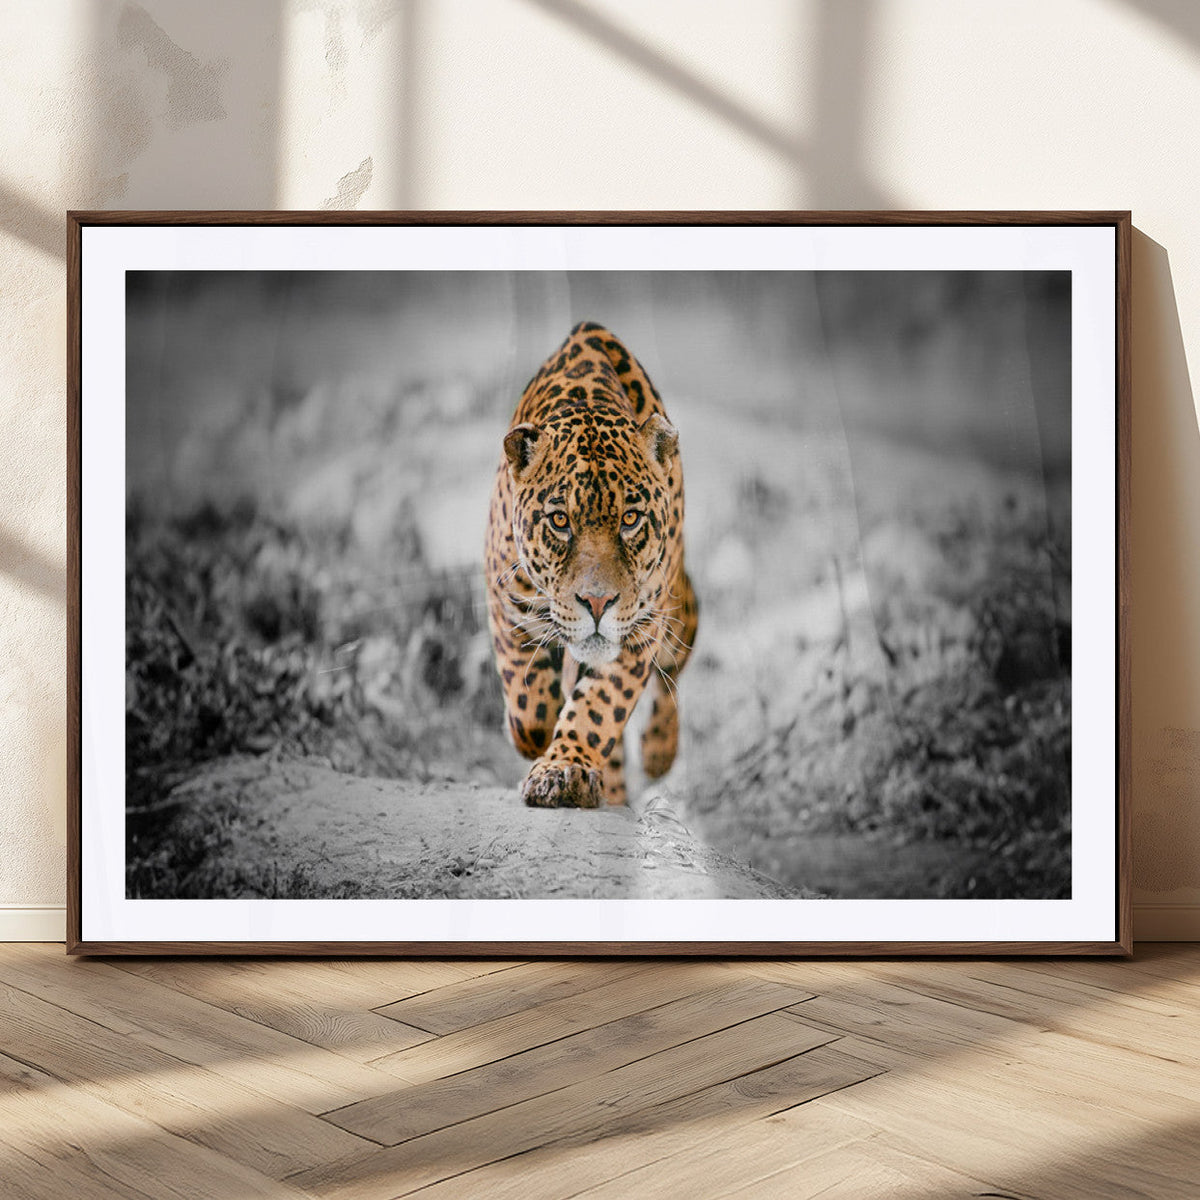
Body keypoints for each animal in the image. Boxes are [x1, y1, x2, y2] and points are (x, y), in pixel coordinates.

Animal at [484, 322, 699, 808]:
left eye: (631, 519)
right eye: (560, 521)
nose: (597, 603)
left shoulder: (641, 628)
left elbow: (599, 707)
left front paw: (563, 770)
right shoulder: (505, 600)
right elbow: (529, 704)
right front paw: (536, 738)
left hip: (678, 609)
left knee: (674, 669)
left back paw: (658, 752)